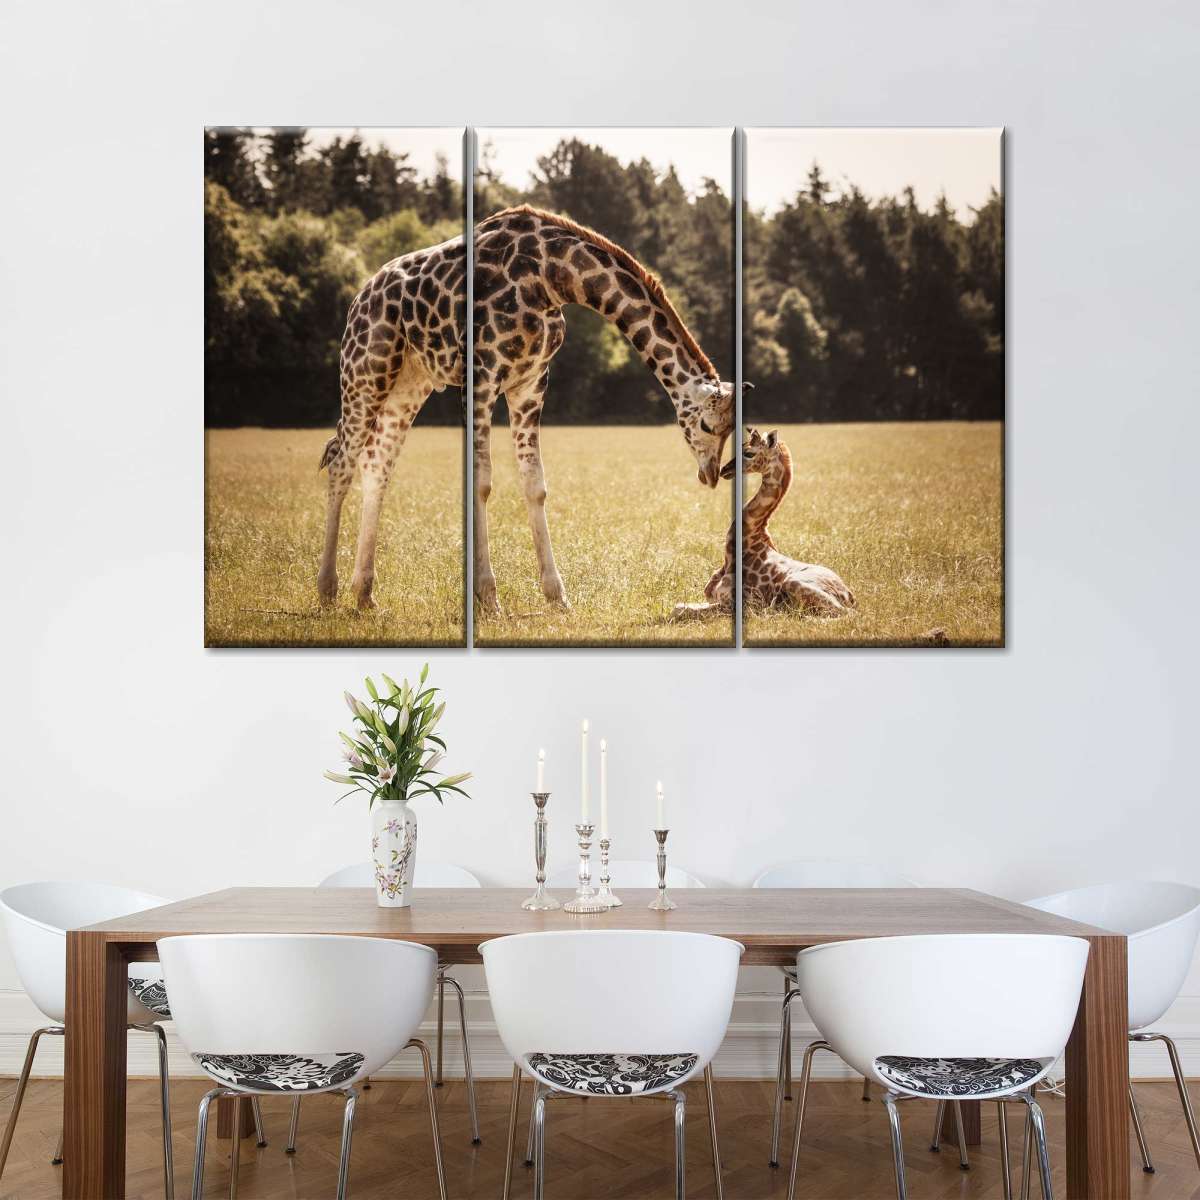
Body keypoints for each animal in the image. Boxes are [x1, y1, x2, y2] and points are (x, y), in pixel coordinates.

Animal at [317, 205, 739, 612]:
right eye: (707, 425)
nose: (711, 474)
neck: (553, 276)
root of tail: (359, 298)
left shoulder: (531, 382)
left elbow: (534, 482)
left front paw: (556, 595)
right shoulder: (481, 376)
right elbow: (481, 481)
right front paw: (488, 597)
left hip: (408, 382)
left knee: (376, 464)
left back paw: (364, 594)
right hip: (366, 370)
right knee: (342, 463)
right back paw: (327, 590)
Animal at [673, 427, 855, 619]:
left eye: (749, 453)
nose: (724, 470)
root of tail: (850, 596)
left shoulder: (742, 604)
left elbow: (678, 608)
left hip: (795, 583)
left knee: (846, 613)